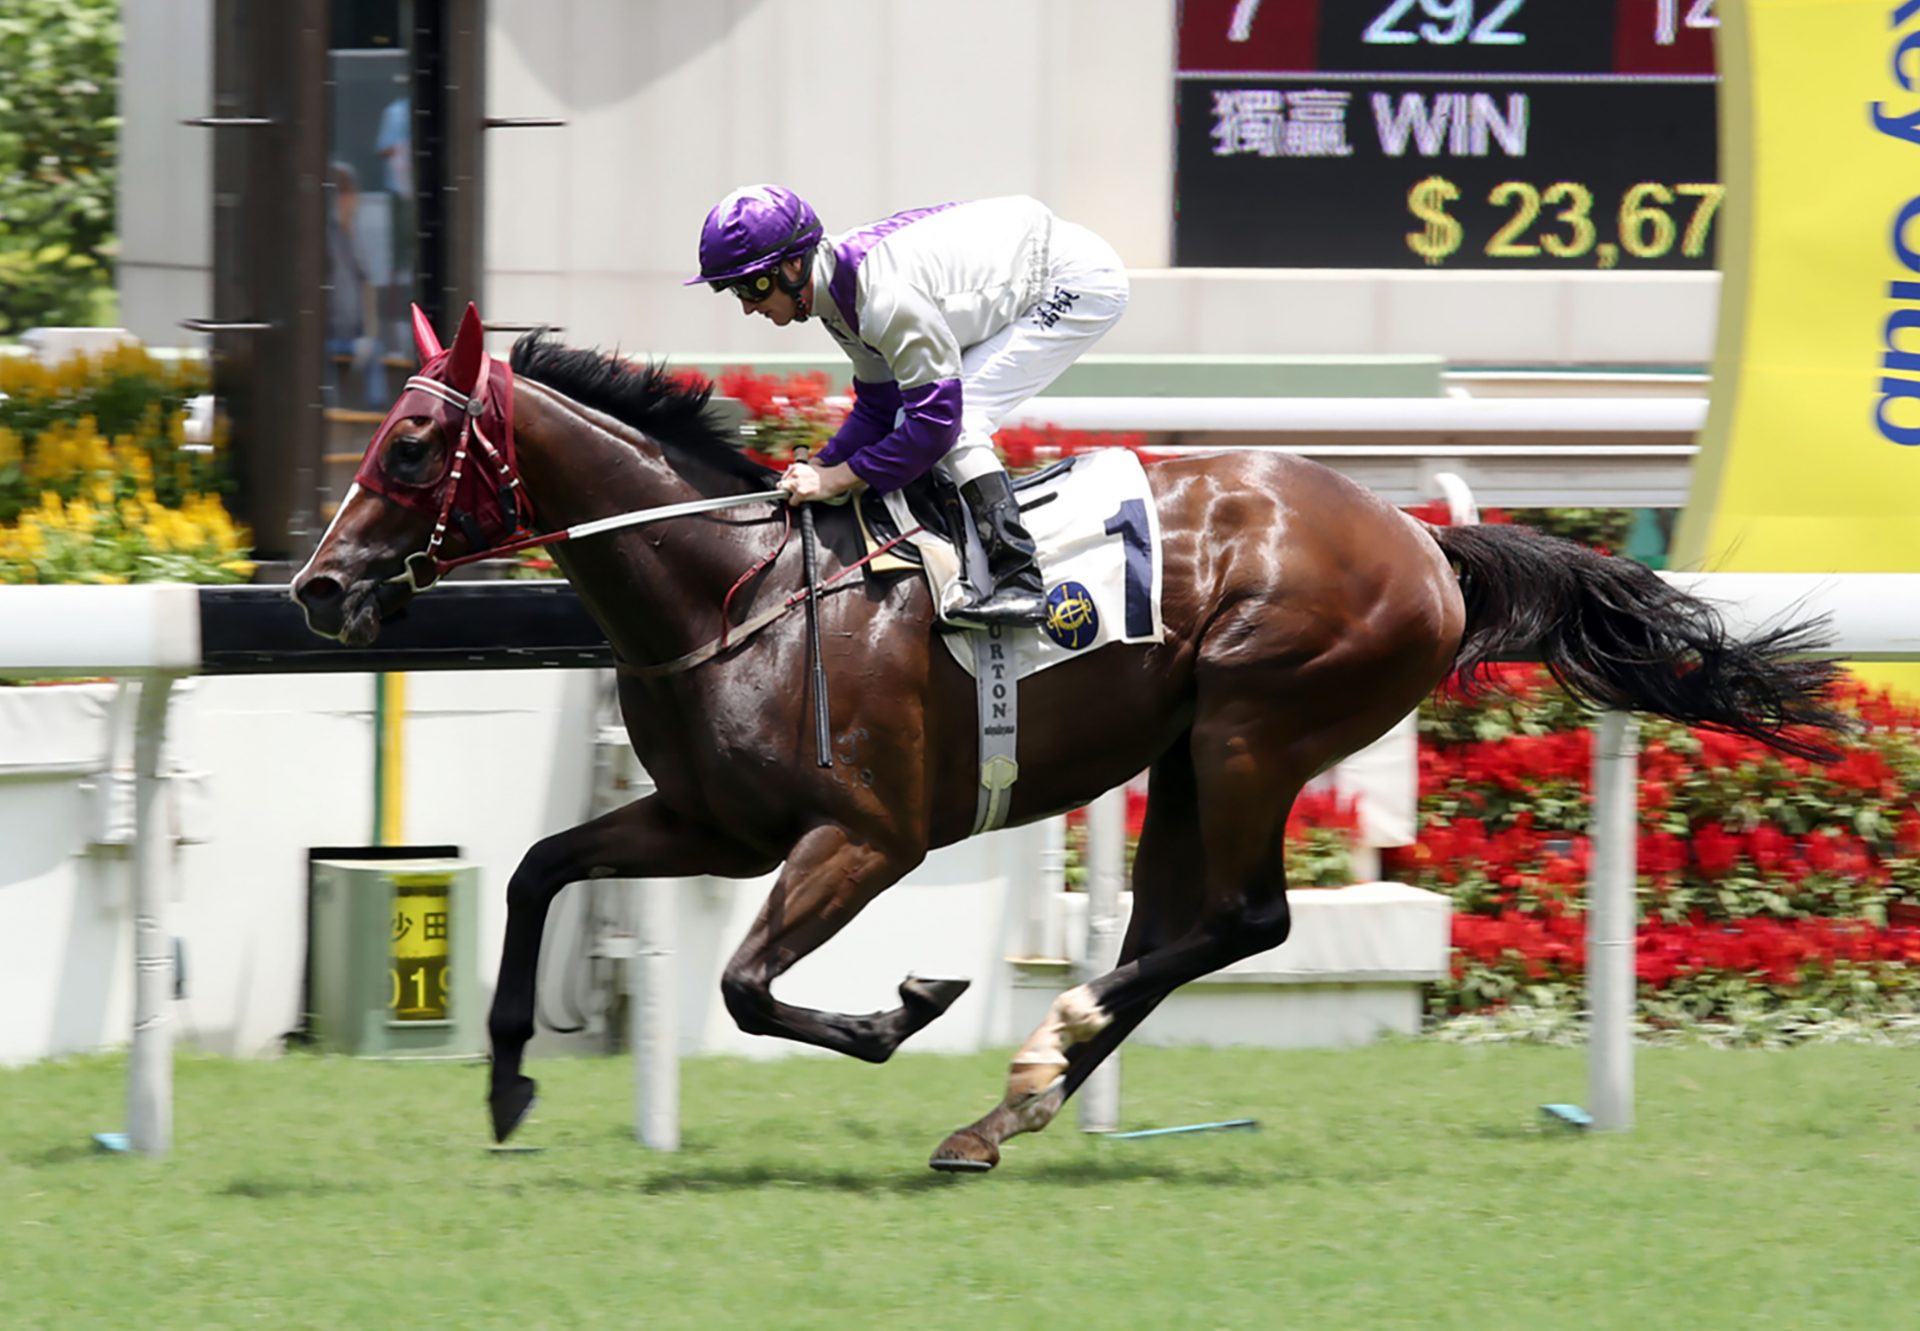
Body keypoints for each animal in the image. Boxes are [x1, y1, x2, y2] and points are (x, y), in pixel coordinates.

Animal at [291, 305, 1835, 1167]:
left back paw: (1042, 1048)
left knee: (1248, 921)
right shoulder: (709, 823)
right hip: (1190, 753)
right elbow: (543, 865)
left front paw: (902, 1006)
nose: (315, 586)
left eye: (413, 446)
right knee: (1179, 928)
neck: (732, 591)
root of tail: (1425, 538)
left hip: (1258, 722)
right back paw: (1010, 1105)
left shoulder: (865, 834)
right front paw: (505, 1077)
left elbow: (742, 985)